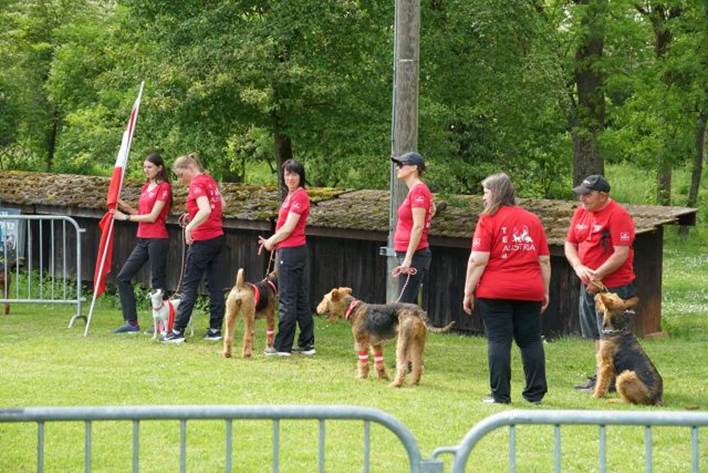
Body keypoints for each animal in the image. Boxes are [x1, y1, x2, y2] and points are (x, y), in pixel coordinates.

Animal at [316, 286, 454, 386]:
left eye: (324, 298)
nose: (317, 309)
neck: (353, 309)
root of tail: (418, 311)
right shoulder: (376, 344)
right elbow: (379, 362)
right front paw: (383, 377)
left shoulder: (360, 342)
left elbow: (363, 362)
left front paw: (361, 376)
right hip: (417, 342)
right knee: (417, 364)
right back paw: (414, 382)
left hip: (403, 342)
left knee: (402, 366)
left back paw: (396, 384)